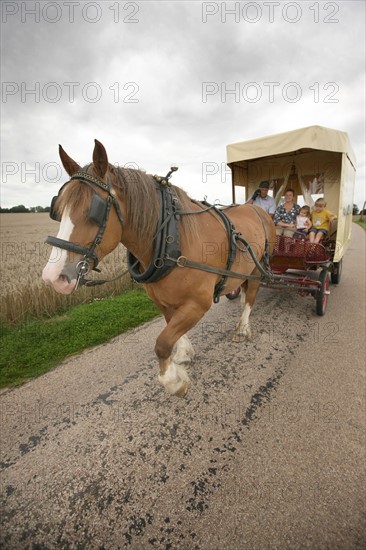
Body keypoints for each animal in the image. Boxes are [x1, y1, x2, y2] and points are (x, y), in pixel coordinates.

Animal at [42, 140, 274, 398]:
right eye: (57, 209)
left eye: (95, 210)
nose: (53, 277)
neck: (174, 239)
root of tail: (257, 210)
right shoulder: (162, 301)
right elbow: (171, 331)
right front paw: (183, 353)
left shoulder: (198, 303)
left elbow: (162, 344)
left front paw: (174, 381)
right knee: (243, 289)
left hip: (258, 267)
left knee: (251, 295)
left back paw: (243, 328)